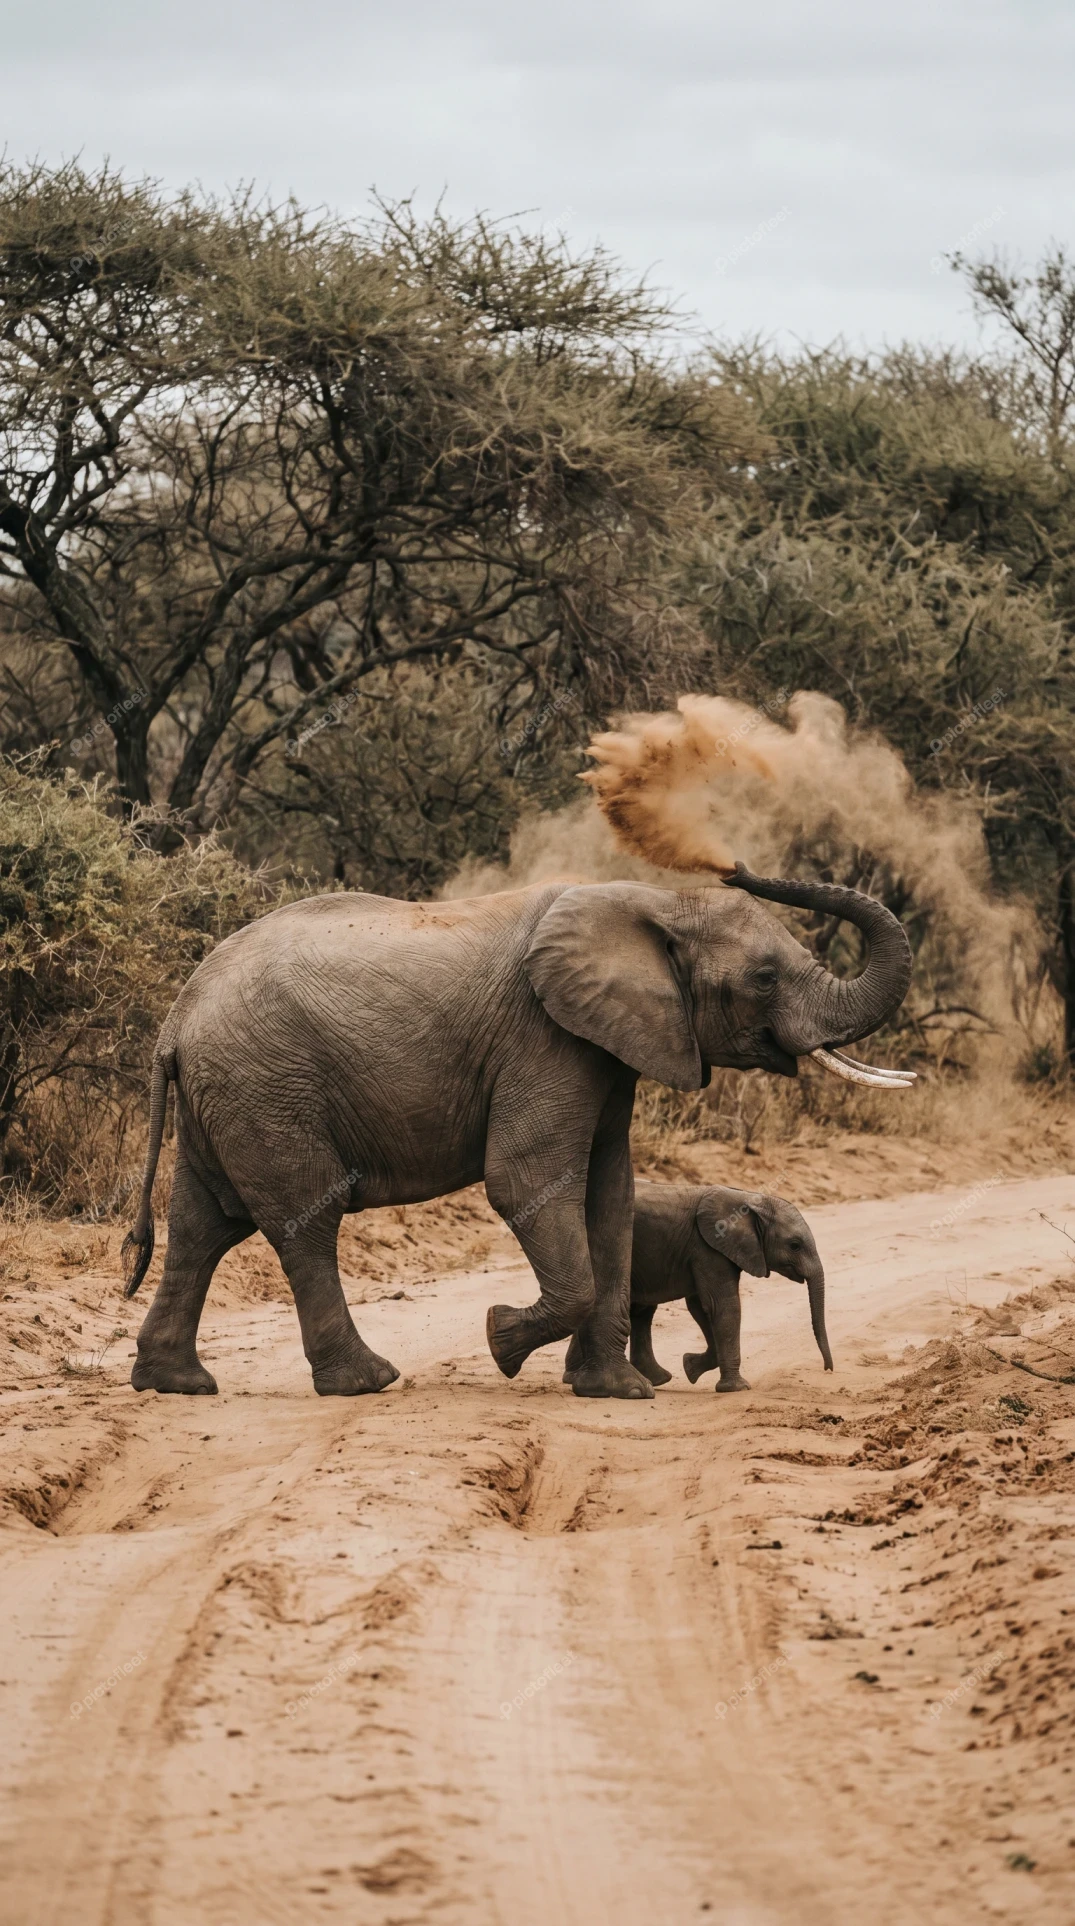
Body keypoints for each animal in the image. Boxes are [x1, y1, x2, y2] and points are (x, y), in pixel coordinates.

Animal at [563, 1180, 829, 1392]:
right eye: (795, 1245)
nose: (829, 1369)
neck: (750, 1199)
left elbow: (701, 1307)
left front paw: (690, 1367)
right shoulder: (707, 1247)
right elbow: (722, 1306)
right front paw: (737, 1388)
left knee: (641, 1310)